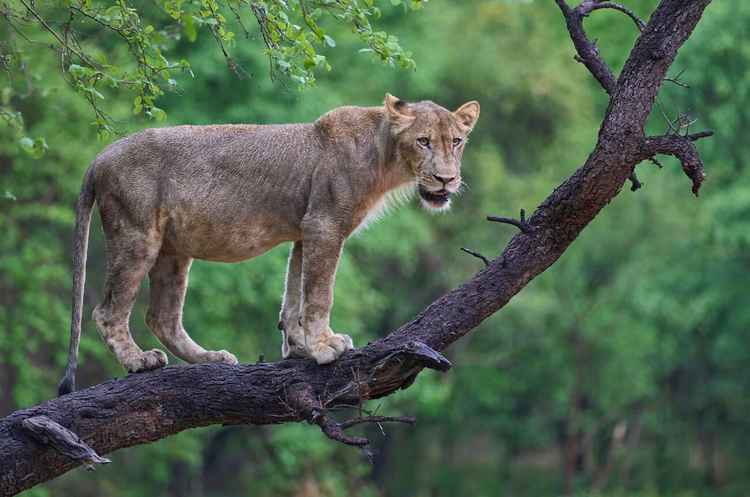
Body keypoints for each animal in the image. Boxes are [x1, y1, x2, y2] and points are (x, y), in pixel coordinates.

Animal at [58, 93, 482, 394]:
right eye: (424, 141)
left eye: (457, 141)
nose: (446, 180)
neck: (385, 156)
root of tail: (100, 157)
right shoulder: (325, 225)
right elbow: (319, 294)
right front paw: (325, 346)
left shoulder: (305, 231)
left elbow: (294, 295)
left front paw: (299, 347)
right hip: (137, 234)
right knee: (108, 311)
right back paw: (138, 361)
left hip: (174, 250)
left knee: (162, 316)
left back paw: (211, 358)